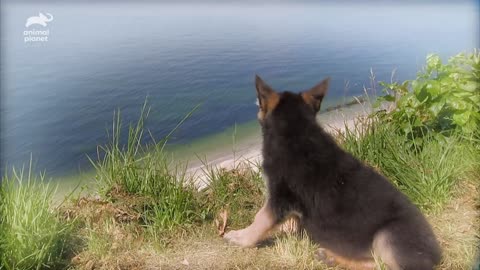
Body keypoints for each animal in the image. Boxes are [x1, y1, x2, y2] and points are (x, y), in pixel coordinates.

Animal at [225, 75, 442, 270]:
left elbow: (260, 219)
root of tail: (436, 257)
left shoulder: (280, 198)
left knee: (380, 264)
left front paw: (241, 237)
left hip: (388, 236)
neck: (297, 131)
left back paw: (334, 258)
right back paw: (331, 257)